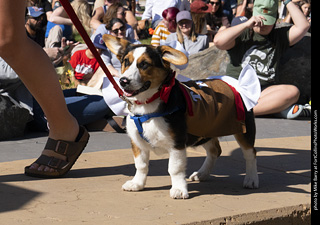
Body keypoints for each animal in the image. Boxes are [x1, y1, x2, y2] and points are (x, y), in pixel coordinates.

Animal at [104, 34, 258, 200]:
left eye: (145, 64)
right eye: (126, 61)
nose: (123, 81)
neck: (148, 104)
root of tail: (235, 83)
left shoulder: (176, 144)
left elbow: (174, 169)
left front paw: (178, 189)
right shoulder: (137, 143)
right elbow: (141, 165)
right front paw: (137, 184)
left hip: (244, 131)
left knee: (250, 153)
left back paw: (251, 179)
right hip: (205, 130)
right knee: (215, 150)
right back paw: (202, 173)